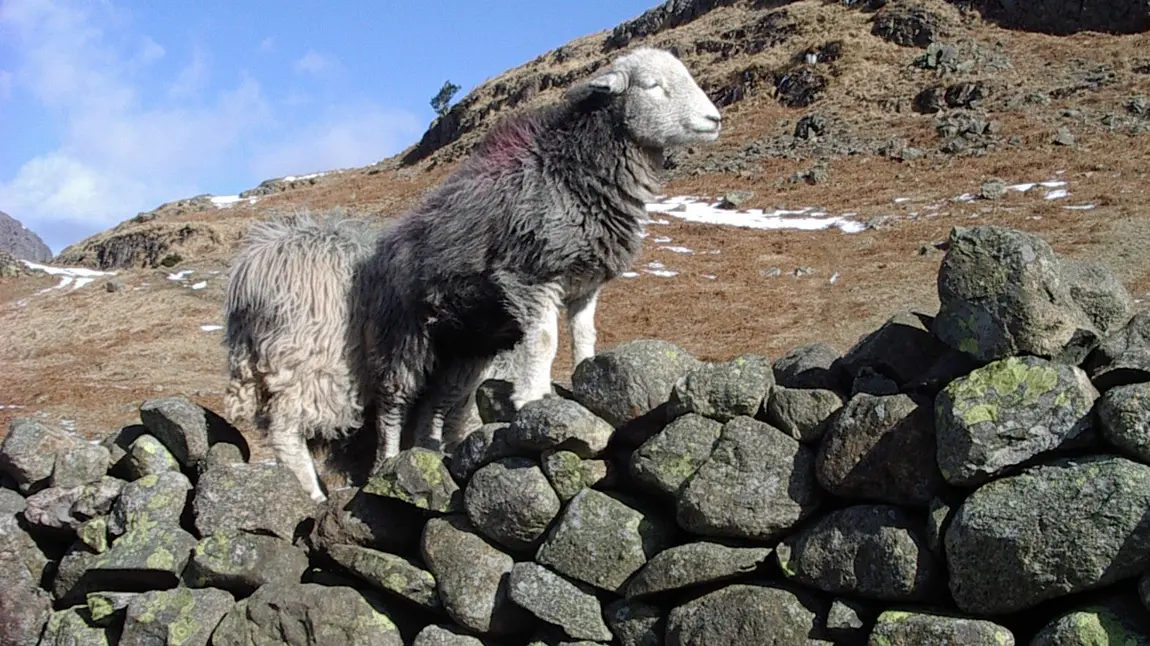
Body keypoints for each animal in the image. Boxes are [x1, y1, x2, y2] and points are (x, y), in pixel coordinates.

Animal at [358, 43, 722, 466]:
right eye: (652, 85)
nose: (714, 119)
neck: (573, 170)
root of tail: (383, 245)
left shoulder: (585, 284)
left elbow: (584, 334)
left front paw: (584, 378)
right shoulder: (529, 276)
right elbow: (546, 340)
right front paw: (531, 397)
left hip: (465, 347)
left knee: (437, 403)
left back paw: (430, 451)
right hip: (402, 334)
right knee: (394, 401)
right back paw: (387, 460)